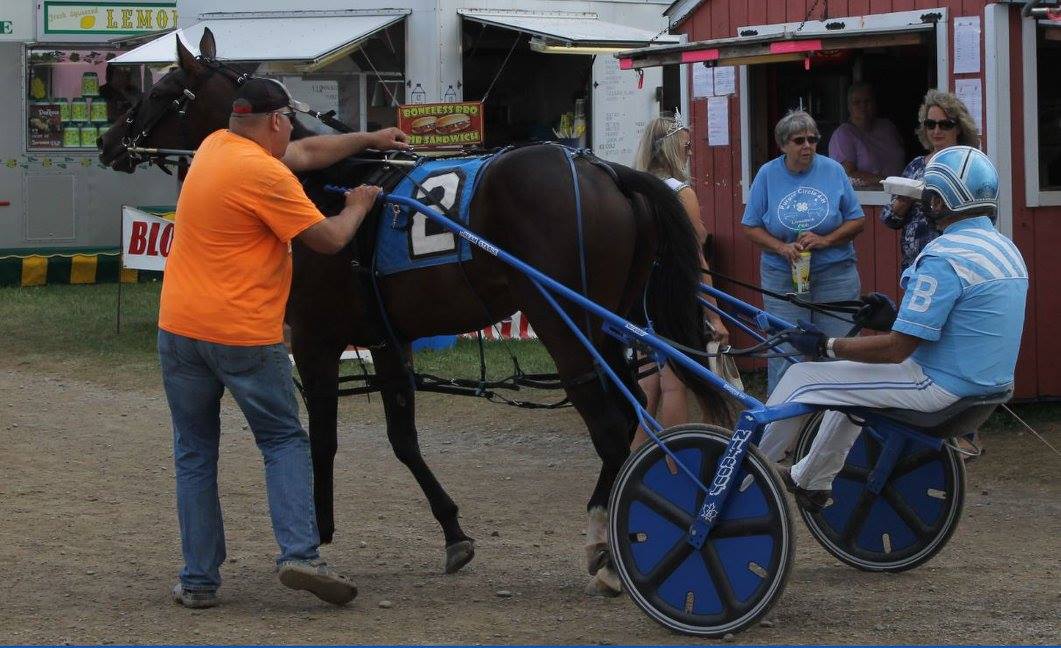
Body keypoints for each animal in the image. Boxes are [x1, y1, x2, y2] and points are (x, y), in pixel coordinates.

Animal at [99, 30, 734, 593]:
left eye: (163, 91)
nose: (109, 140)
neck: (320, 184)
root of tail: (604, 170)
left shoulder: (315, 338)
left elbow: (321, 439)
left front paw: (317, 535)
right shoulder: (387, 338)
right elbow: (403, 438)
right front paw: (453, 533)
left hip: (564, 324)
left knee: (612, 426)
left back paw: (602, 544)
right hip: (609, 324)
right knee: (629, 418)